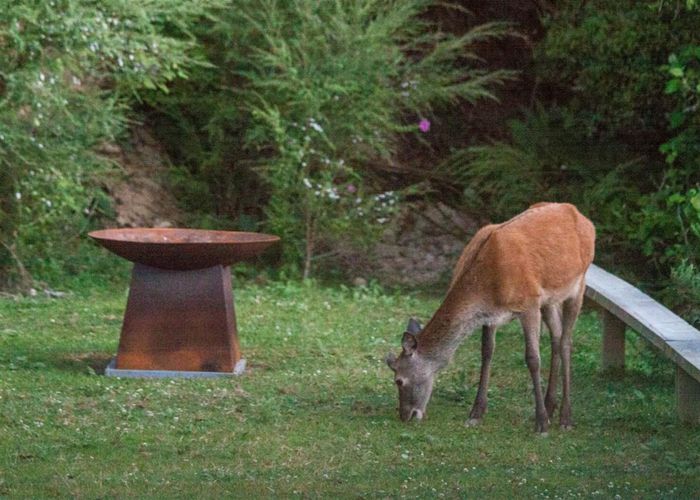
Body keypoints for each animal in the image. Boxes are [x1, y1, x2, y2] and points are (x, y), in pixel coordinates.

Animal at [386, 201, 592, 432]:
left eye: (399, 380)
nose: (406, 415)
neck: (487, 284)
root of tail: (581, 215)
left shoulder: (529, 303)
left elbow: (533, 358)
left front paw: (541, 423)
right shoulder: (490, 314)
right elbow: (486, 353)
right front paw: (476, 413)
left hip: (578, 284)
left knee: (566, 341)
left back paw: (565, 417)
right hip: (549, 299)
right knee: (556, 337)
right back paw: (550, 406)